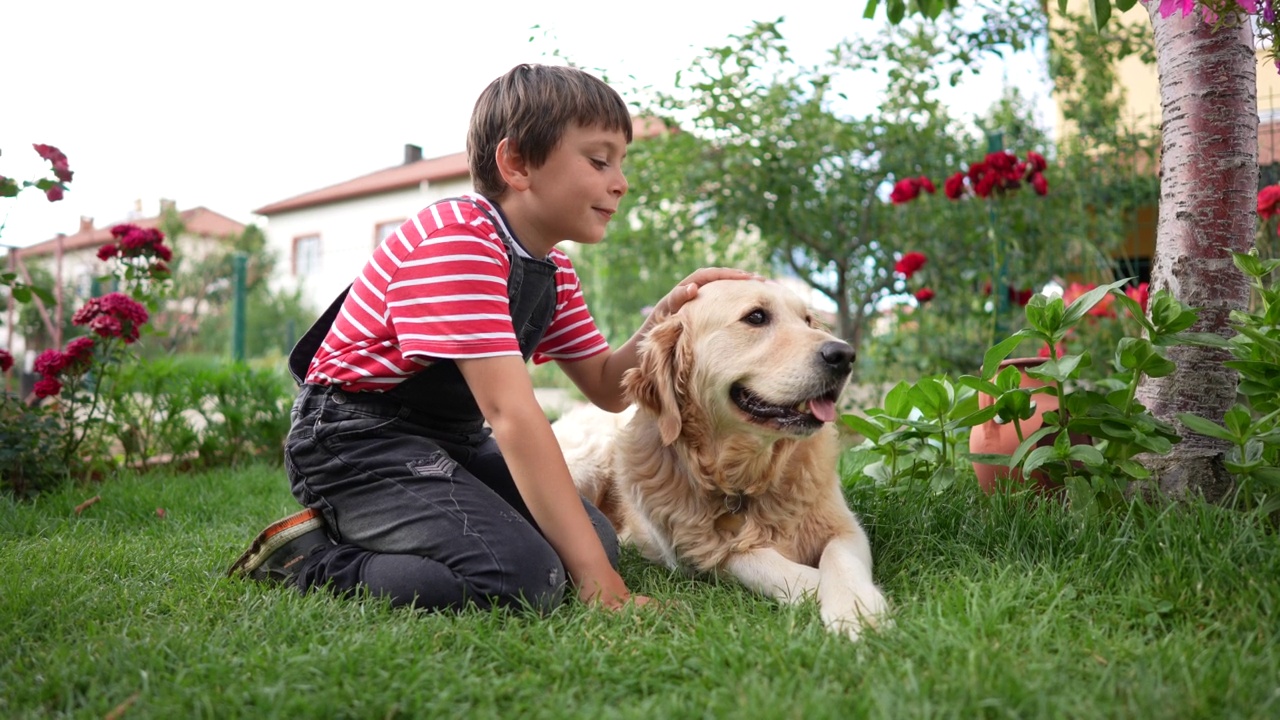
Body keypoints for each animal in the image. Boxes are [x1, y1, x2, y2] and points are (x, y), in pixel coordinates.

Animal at [550, 278, 890, 635]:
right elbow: (758, 561)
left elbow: (840, 559)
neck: (744, 475)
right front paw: (817, 589)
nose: (845, 355)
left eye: (808, 320)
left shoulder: (844, 526)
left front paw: (857, 607)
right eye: (756, 317)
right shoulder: (699, 553)